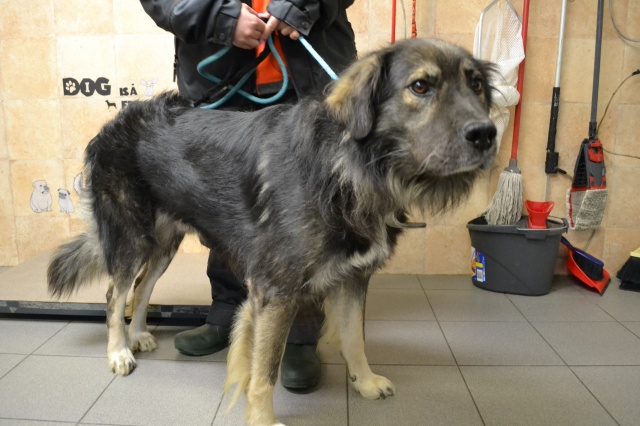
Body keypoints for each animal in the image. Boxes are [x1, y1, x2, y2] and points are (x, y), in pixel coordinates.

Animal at [48, 38, 497, 425]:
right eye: (420, 86)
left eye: (476, 85)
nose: (487, 135)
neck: (347, 169)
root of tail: (114, 122)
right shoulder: (275, 291)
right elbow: (263, 371)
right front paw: (263, 419)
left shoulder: (353, 277)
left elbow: (354, 337)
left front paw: (365, 382)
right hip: (131, 237)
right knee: (114, 294)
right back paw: (119, 351)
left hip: (163, 243)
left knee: (141, 289)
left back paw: (138, 334)